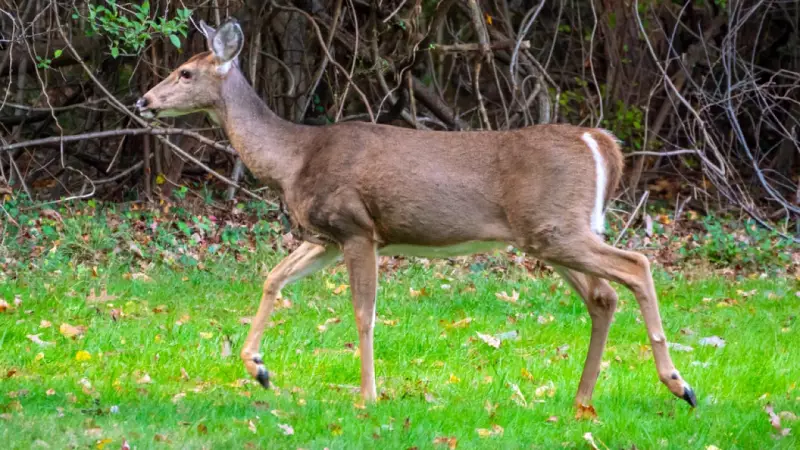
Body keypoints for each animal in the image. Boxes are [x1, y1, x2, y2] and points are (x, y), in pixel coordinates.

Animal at [136, 18, 697, 410]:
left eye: (185, 72)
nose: (144, 101)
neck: (294, 159)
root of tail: (599, 140)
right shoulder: (325, 236)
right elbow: (273, 277)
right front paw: (257, 367)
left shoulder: (358, 228)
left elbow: (363, 313)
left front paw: (368, 396)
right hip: (549, 234)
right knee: (603, 297)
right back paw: (583, 399)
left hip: (557, 229)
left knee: (636, 265)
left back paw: (678, 384)